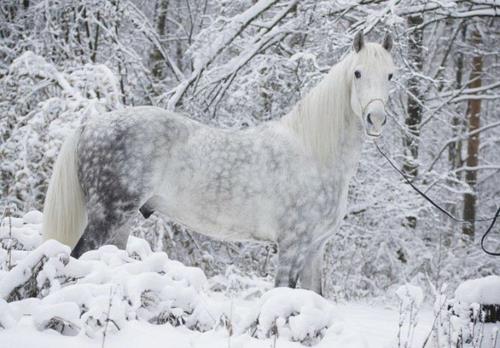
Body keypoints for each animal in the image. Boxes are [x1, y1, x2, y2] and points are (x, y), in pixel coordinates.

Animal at [42, 32, 394, 294]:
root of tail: (91, 125)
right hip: (106, 218)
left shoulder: (315, 249)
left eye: (390, 75)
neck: (314, 152)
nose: (376, 119)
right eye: (357, 73)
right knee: (75, 259)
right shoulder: (293, 246)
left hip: (121, 223)